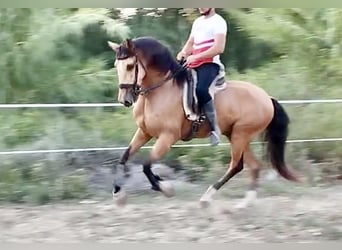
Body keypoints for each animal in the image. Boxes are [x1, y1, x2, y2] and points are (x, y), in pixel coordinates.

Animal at [107, 36, 300, 208]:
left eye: (130, 66)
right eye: (117, 66)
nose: (124, 100)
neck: (159, 91)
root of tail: (267, 98)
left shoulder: (168, 137)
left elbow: (146, 165)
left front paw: (165, 188)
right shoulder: (144, 132)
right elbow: (123, 158)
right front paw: (119, 194)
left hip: (241, 135)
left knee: (236, 166)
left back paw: (207, 198)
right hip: (237, 135)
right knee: (253, 166)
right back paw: (245, 203)